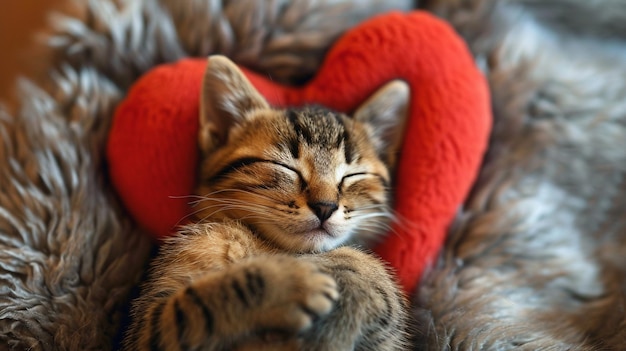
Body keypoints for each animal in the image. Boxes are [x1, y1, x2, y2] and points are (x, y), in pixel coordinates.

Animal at [124, 55, 412, 351]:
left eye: (353, 175)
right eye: (285, 167)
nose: (325, 207)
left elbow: (368, 274)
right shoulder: (148, 326)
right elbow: (197, 304)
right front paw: (291, 283)